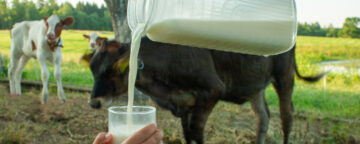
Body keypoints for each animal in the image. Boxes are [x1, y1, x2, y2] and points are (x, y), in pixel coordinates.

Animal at [86, 37, 324, 144]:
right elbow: (187, 133)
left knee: (287, 116)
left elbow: (196, 132)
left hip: (284, 77)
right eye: (92, 68)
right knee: (263, 117)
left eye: (114, 70)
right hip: (255, 85)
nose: (94, 102)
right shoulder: (184, 103)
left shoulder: (212, 91)